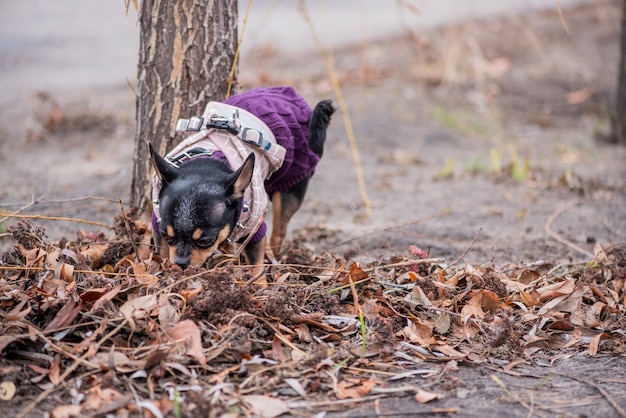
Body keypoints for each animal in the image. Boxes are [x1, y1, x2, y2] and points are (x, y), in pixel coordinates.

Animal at [149, 86, 334, 272]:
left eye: (205, 241)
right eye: (166, 236)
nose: (180, 263)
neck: (206, 163)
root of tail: (287, 91)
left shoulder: (254, 232)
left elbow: (255, 267)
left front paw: (259, 279)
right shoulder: (158, 224)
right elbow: (162, 254)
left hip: (291, 186)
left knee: (279, 231)